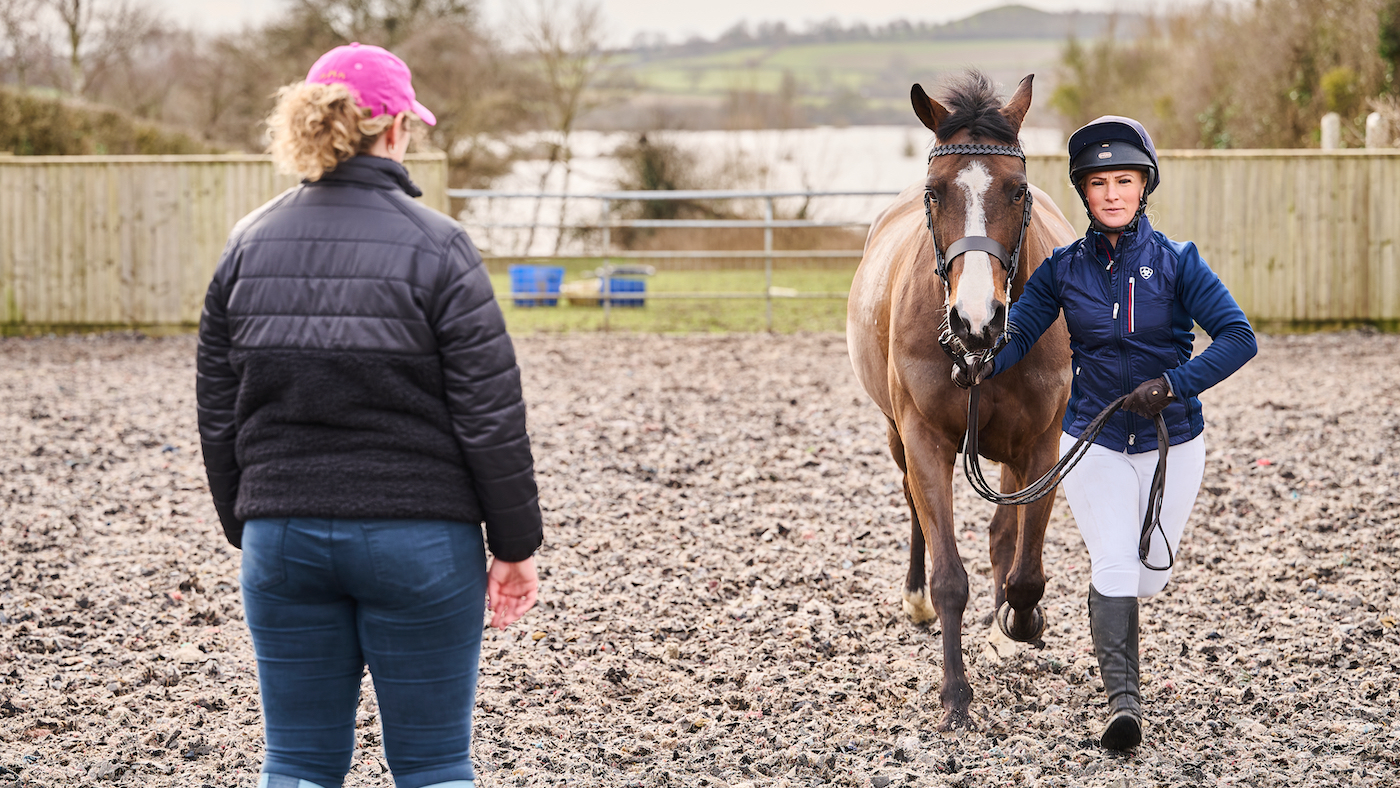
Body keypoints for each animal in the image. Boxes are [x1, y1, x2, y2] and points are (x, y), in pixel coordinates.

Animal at [846, 72, 1076, 730]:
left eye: (1018, 190)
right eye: (935, 193)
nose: (977, 319)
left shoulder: (1041, 445)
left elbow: (1024, 566)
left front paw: (1019, 622)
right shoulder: (924, 439)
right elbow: (951, 572)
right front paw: (955, 695)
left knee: (1005, 535)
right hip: (896, 435)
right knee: (912, 507)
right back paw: (917, 600)